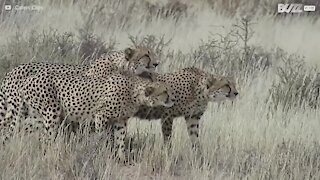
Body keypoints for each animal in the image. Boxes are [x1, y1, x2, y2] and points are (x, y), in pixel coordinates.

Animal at [15, 71, 172, 161]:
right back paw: (51, 153)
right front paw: (102, 153)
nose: (171, 99)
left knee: (22, 128)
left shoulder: (120, 121)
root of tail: (27, 80)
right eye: (164, 91)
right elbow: (102, 138)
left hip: (38, 117)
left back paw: (14, 145)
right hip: (52, 113)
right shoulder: (101, 116)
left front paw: (122, 158)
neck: (134, 92)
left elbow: (120, 140)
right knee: (47, 137)